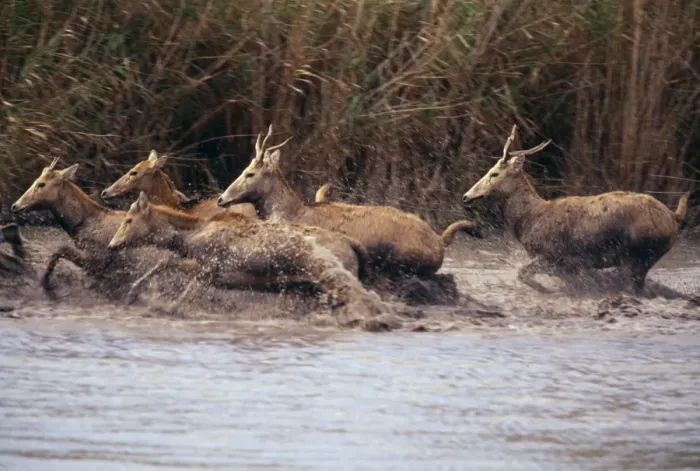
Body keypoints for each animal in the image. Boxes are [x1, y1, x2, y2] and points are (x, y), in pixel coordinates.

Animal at [10, 159, 170, 298]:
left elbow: (60, 249)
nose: (15, 206)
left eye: (41, 184)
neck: (80, 223)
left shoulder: (97, 260)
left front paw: (45, 281)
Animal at [107, 192, 388, 325]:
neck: (188, 237)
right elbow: (164, 261)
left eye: (129, 219)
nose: (112, 245)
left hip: (332, 280)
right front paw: (133, 293)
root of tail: (354, 245)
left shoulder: (209, 271)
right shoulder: (206, 270)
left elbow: (180, 295)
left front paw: (154, 302)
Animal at [462, 124, 690, 296]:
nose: (466, 196)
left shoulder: (553, 255)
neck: (529, 220)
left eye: (494, 173)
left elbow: (522, 274)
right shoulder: (568, 266)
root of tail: (674, 216)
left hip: (637, 255)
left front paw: (547, 290)